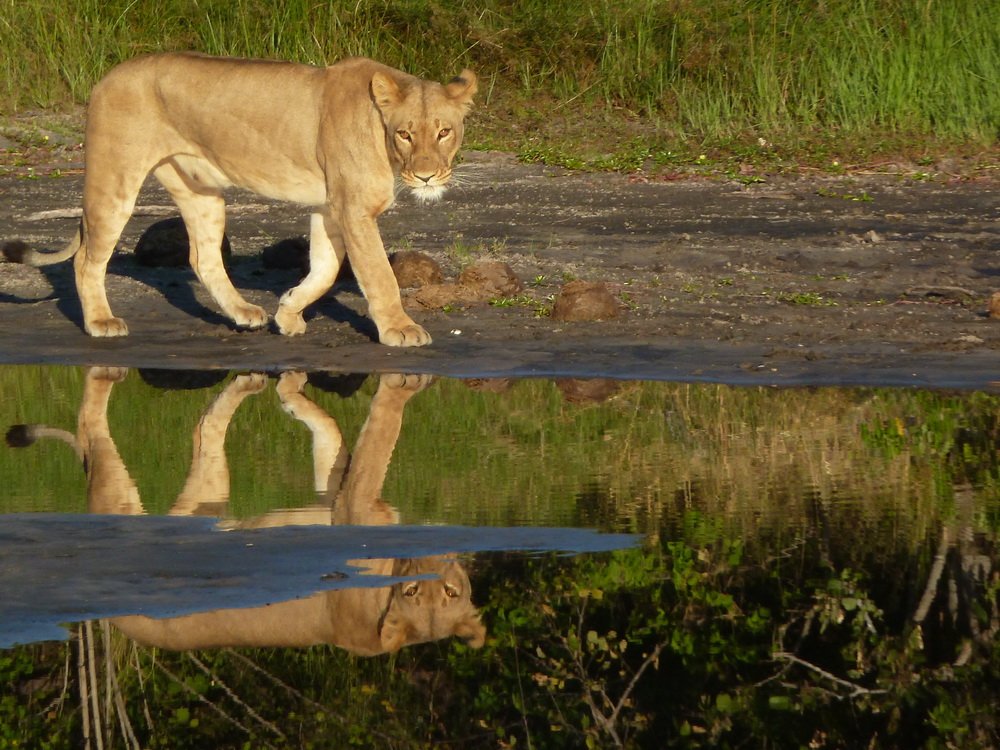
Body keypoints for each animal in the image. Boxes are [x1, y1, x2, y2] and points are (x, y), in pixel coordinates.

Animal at [2, 53, 477, 344]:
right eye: (405, 134)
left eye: (444, 131)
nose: (426, 175)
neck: (382, 137)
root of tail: (107, 77)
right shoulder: (354, 209)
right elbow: (379, 275)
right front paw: (400, 328)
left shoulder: (330, 207)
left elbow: (325, 270)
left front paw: (288, 311)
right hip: (115, 176)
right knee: (87, 258)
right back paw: (101, 322)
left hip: (200, 191)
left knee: (203, 258)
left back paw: (244, 312)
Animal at [7, 368, 485, 654]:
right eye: (413, 593)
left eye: (451, 594)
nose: (434, 571)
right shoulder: (356, 504)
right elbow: (379, 437)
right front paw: (407, 384)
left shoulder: (336, 497)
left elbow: (330, 436)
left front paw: (290, 391)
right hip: (119, 501)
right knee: (91, 432)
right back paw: (107, 373)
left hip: (209, 495)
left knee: (203, 428)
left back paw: (248, 382)